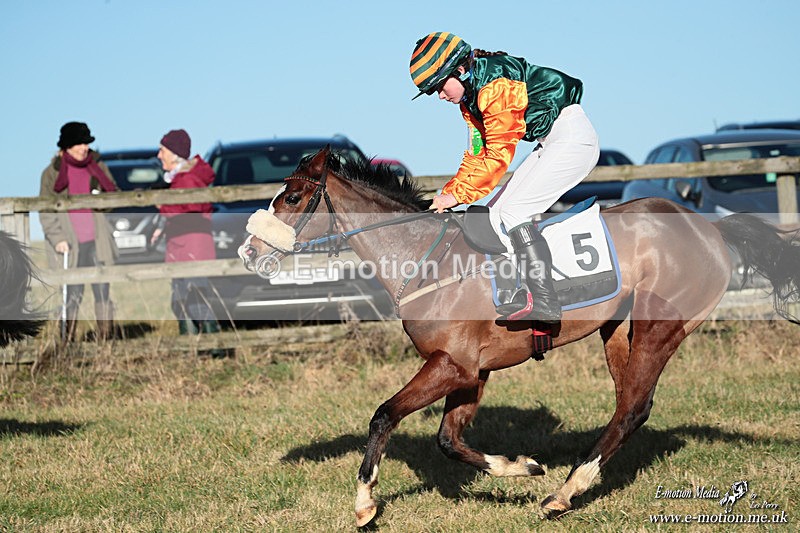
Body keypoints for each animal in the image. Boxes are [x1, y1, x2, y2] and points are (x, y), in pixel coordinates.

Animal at [238, 147, 800, 527]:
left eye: (292, 196)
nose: (248, 252)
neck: (425, 259)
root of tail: (709, 228)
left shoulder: (452, 365)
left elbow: (383, 416)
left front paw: (365, 505)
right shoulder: (471, 372)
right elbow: (448, 440)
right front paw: (522, 466)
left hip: (660, 325)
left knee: (634, 408)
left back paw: (565, 494)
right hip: (617, 329)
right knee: (629, 406)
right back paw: (571, 483)